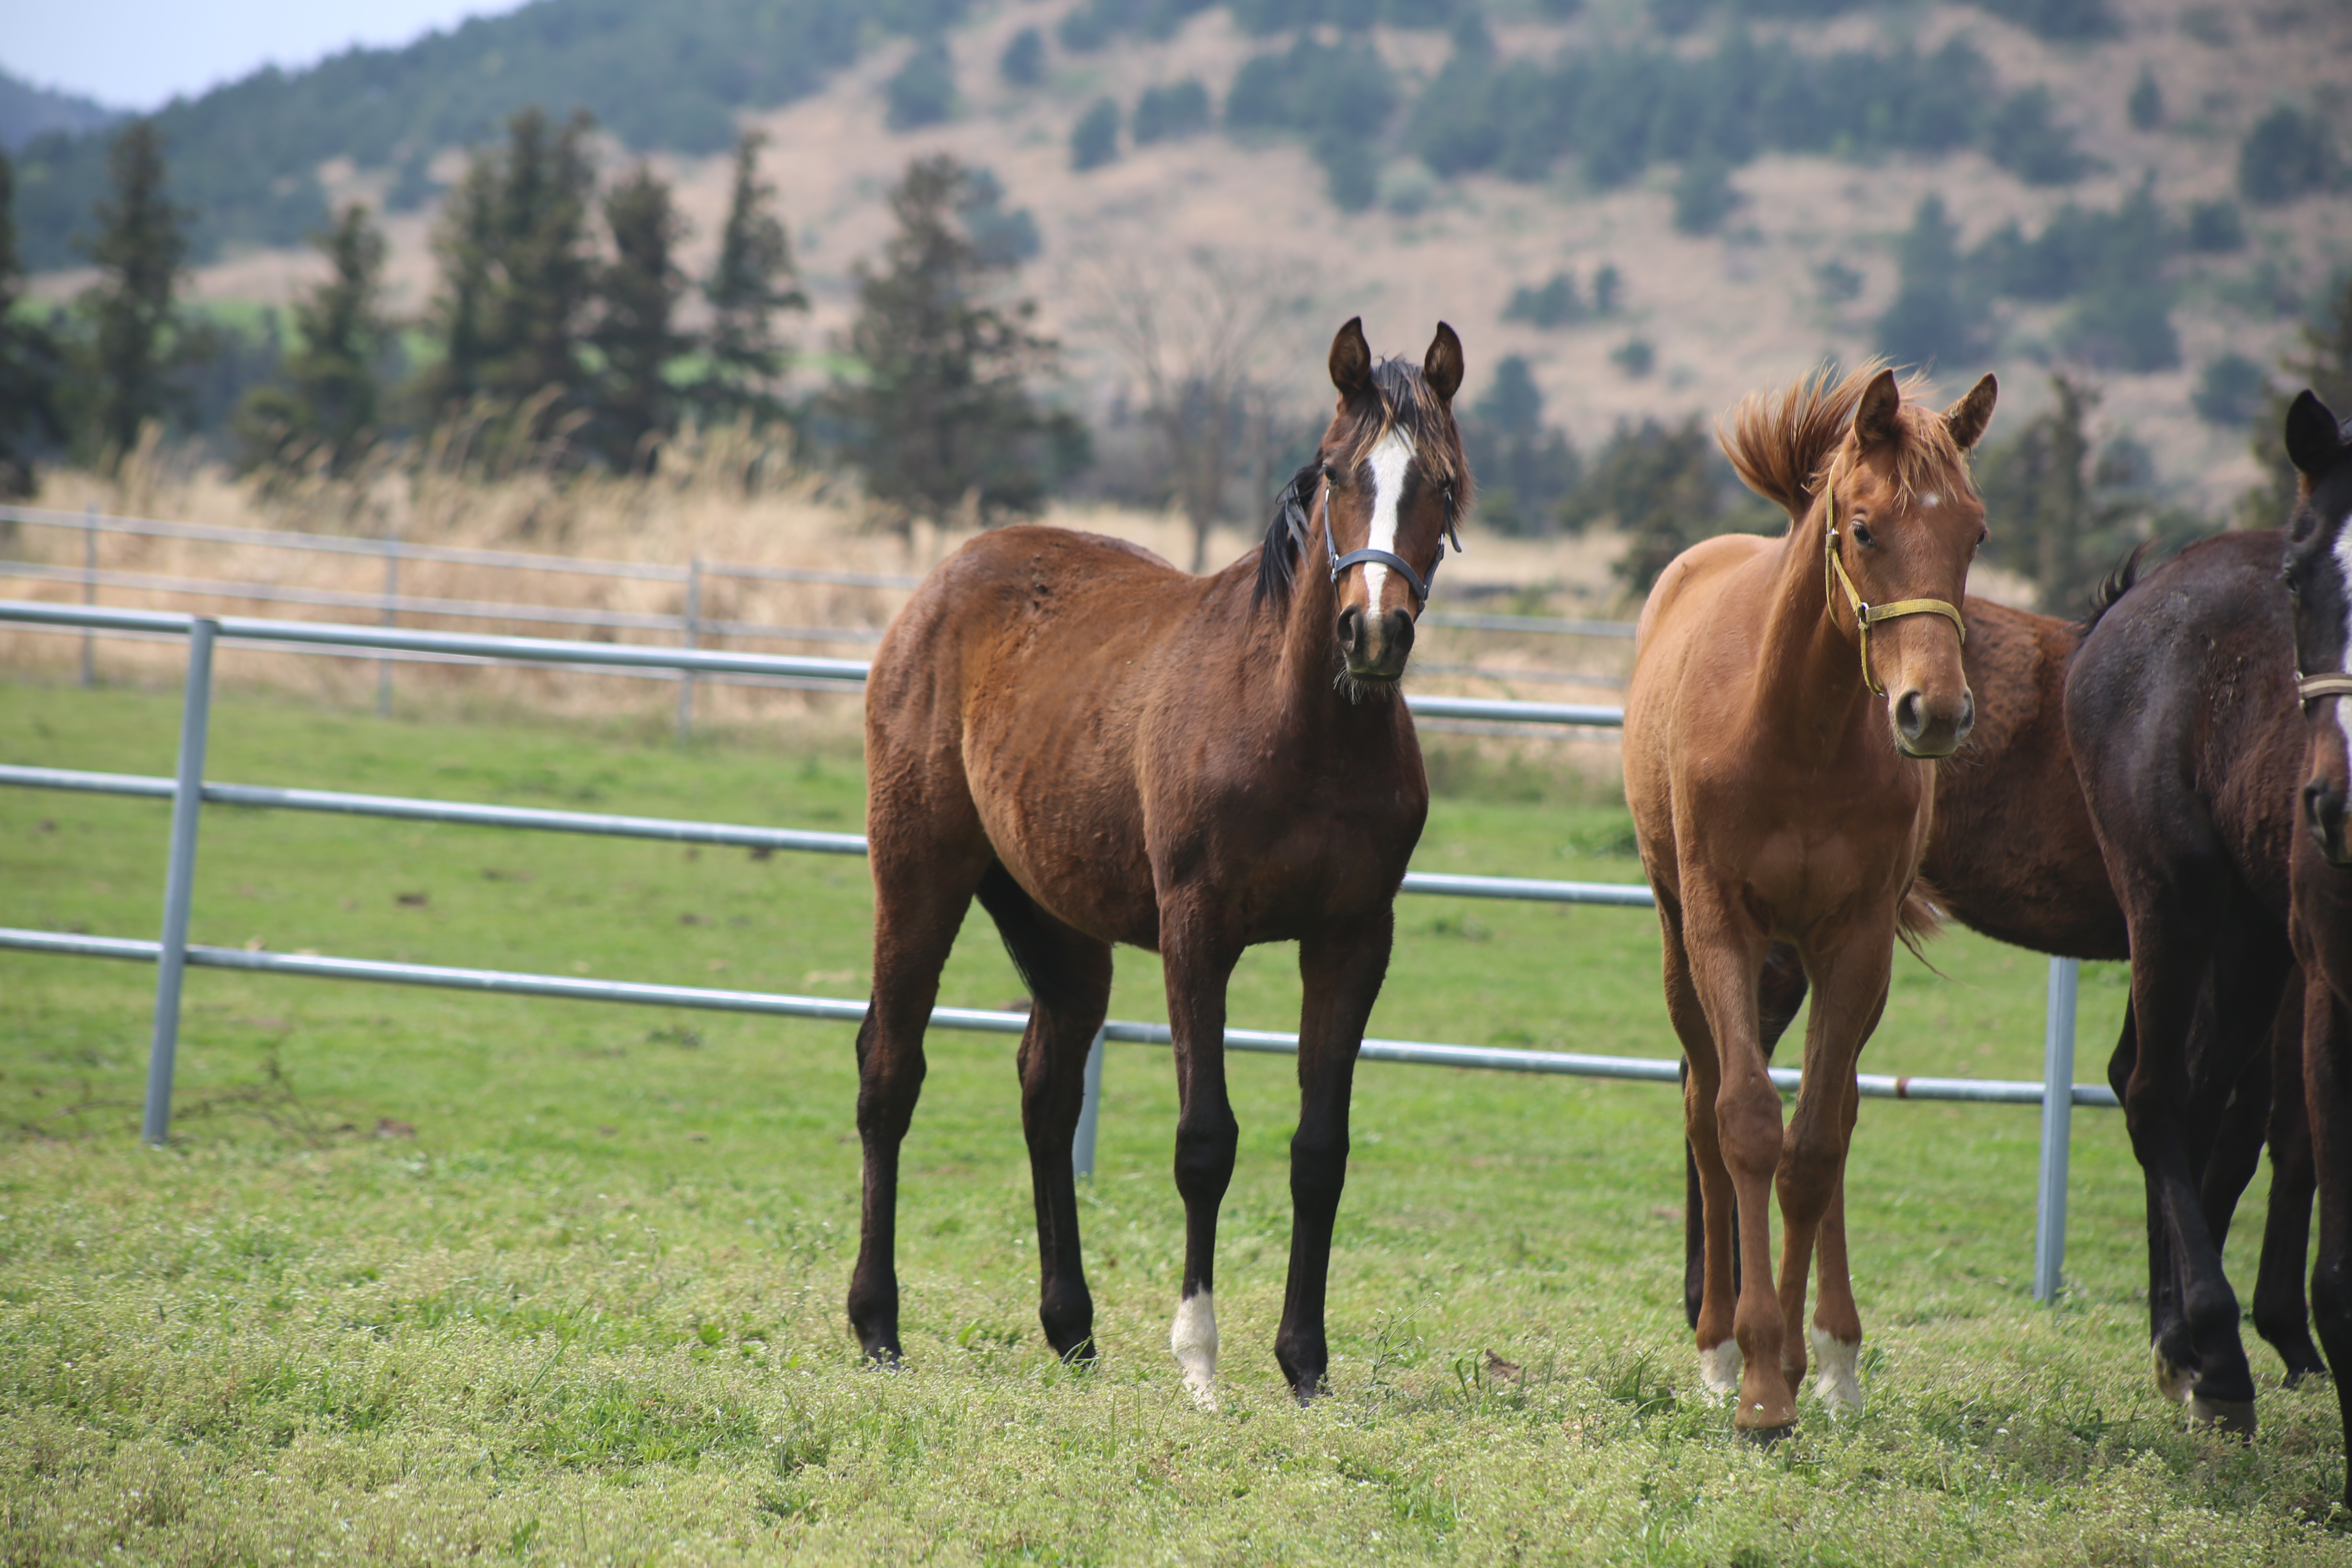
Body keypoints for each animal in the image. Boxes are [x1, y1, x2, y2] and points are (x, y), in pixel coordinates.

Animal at [846, 319, 1468, 1410]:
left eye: (1439, 481)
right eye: (1338, 472)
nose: (1372, 630)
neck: (1300, 731)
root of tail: (944, 579)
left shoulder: (1352, 940)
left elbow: (1320, 1148)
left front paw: (1304, 1361)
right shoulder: (1197, 933)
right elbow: (1204, 1141)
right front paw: (1199, 1360)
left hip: (1056, 926)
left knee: (1046, 1091)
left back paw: (1071, 1327)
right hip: (919, 871)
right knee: (890, 1067)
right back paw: (878, 1323)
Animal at [1637, 362, 2004, 1439]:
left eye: (1974, 534)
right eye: (1864, 528)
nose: (1933, 713)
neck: (1795, 728)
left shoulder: (1854, 941)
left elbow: (1810, 1148)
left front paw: (1799, 1366)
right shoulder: (1720, 924)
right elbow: (1745, 1122)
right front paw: (1755, 1380)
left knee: (1834, 1115)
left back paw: (1833, 1356)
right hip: (1683, 943)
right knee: (1701, 1106)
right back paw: (1717, 1347)